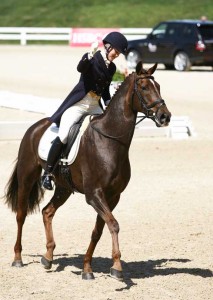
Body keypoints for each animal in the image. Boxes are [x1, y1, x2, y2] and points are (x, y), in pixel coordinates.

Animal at [4, 61, 171, 282]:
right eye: (144, 88)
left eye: (158, 86)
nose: (165, 116)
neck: (110, 141)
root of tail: (36, 126)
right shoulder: (94, 194)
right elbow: (114, 224)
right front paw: (117, 267)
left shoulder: (112, 196)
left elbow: (98, 230)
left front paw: (87, 268)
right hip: (27, 176)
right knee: (21, 215)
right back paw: (18, 258)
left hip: (64, 188)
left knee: (47, 212)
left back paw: (48, 257)